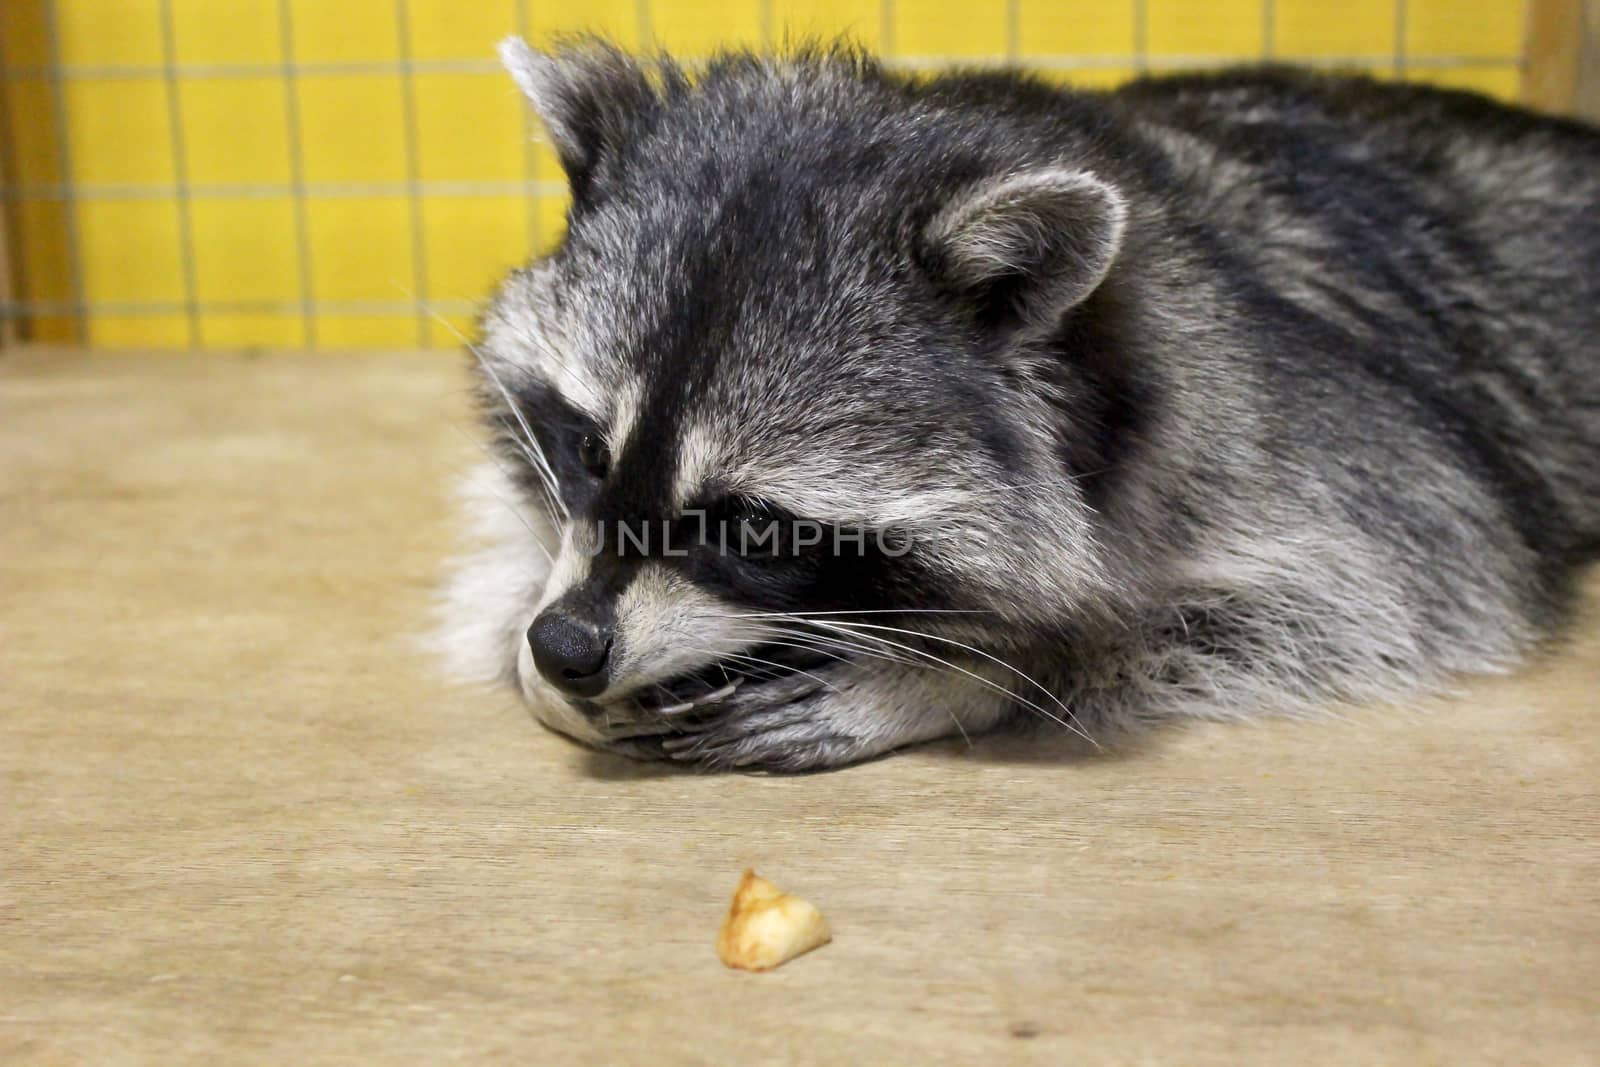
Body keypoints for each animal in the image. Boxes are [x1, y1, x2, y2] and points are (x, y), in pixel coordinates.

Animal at [438, 37, 1600, 771]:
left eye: (753, 522)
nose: (568, 645)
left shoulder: (1333, 451)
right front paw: (533, 650)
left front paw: (974, 668)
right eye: (587, 449)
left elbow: (1393, 593)